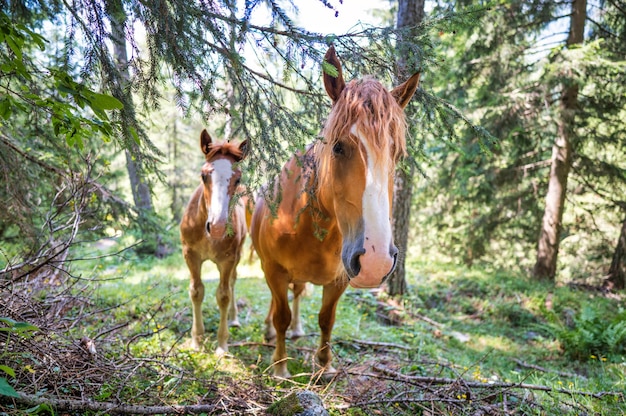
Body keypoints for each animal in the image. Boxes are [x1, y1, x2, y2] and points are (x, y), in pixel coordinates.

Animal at [179, 129, 247, 354]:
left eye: (238, 178)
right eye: (203, 175)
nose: (217, 226)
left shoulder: (227, 259)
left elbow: (223, 295)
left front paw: (222, 344)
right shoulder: (190, 255)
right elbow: (196, 291)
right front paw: (197, 340)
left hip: (238, 254)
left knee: (232, 281)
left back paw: (233, 318)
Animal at [249, 45, 420, 376]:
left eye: (397, 154)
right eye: (338, 147)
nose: (376, 262)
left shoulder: (340, 279)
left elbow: (326, 320)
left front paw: (324, 367)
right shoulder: (274, 270)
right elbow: (280, 315)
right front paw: (280, 367)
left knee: (297, 295)